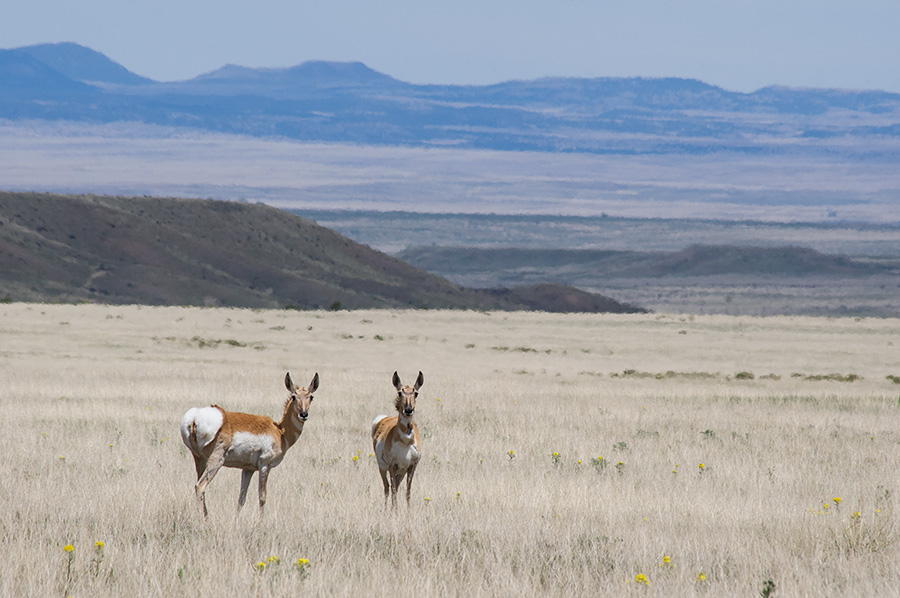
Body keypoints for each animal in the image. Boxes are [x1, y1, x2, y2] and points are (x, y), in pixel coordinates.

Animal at [178, 372, 318, 516]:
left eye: (311, 397)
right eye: (294, 396)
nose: (304, 414)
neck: (280, 431)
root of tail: (195, 416)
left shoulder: (248, 470)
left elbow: (241, 498)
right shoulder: (265, 466)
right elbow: (262, 497)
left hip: (199, 459)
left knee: (200, 486)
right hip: (216, 461)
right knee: (200, 486)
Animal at [370, 372, 424, 508]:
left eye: (416, 393)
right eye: (400, 392)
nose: (408, 410)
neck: (406, 441)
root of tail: (382, 419)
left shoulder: (411, 466)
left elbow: (407, 492)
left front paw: (408, 511)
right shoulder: (392, 466)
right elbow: (393, 491)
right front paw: (395, 511)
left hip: (401, 472)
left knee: (396, 487)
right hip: (382, 468)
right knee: (387, 488)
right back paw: (385, 509)